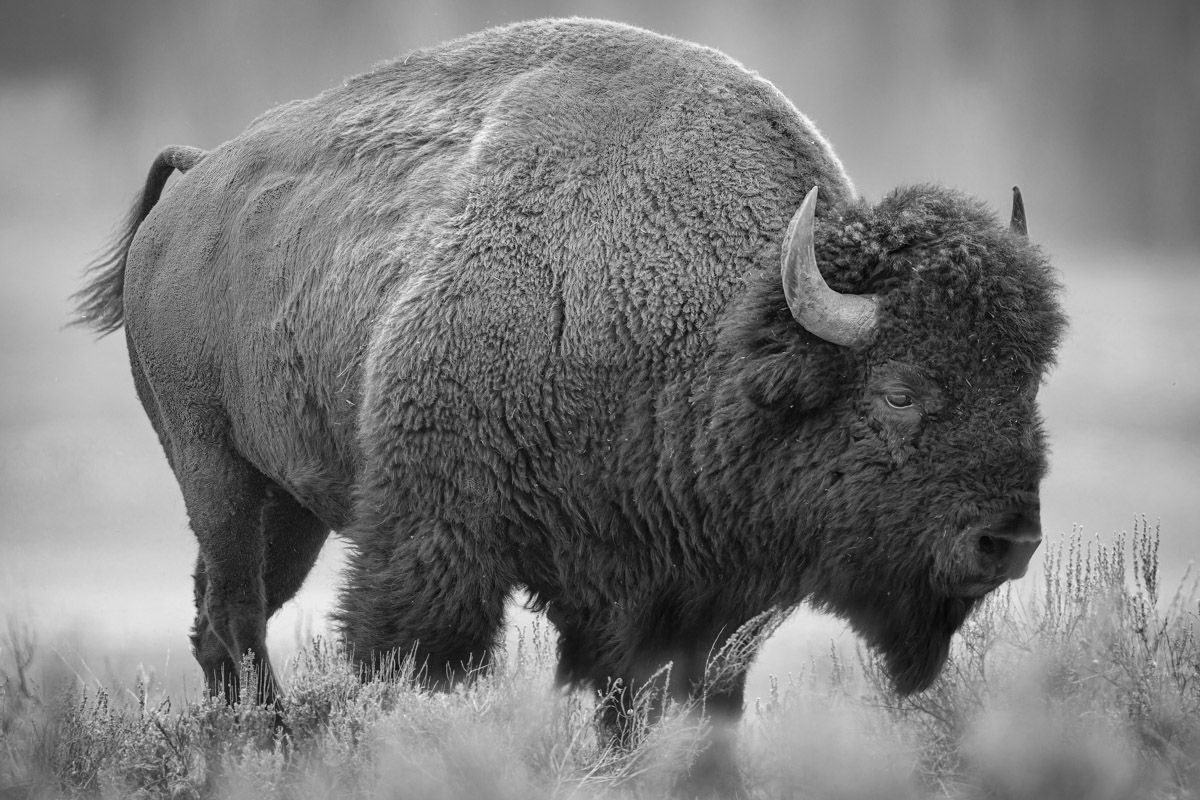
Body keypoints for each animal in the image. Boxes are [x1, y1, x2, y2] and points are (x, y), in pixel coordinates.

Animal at [76, 17, 1065, 791]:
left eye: (1027, 381)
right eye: (901, 392)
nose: (1008, 540)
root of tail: (195, 182)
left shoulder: (698, 595)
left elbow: (684, 702)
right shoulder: (447, 555)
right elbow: (421, 666)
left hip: (290, 507)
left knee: (218, 617)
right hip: (215, 471)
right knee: (237, 614)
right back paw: (266, 745)